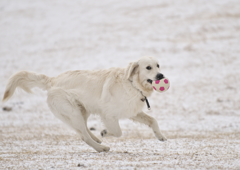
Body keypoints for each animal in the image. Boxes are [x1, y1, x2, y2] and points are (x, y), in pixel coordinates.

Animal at [1, 56, 167, 152]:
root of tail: (53, 80)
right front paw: (105, 132)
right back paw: (101, 147)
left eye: (158, 65)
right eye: (148, 67)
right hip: (73, 112)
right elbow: (118, 132)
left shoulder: (132, 111)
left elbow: (153, 120)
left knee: (84, 130)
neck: (132, 83)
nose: (161, 75)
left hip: (82, 110)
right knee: (83, 136)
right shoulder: (108, 115)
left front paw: (160, 136)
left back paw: (97, 140)